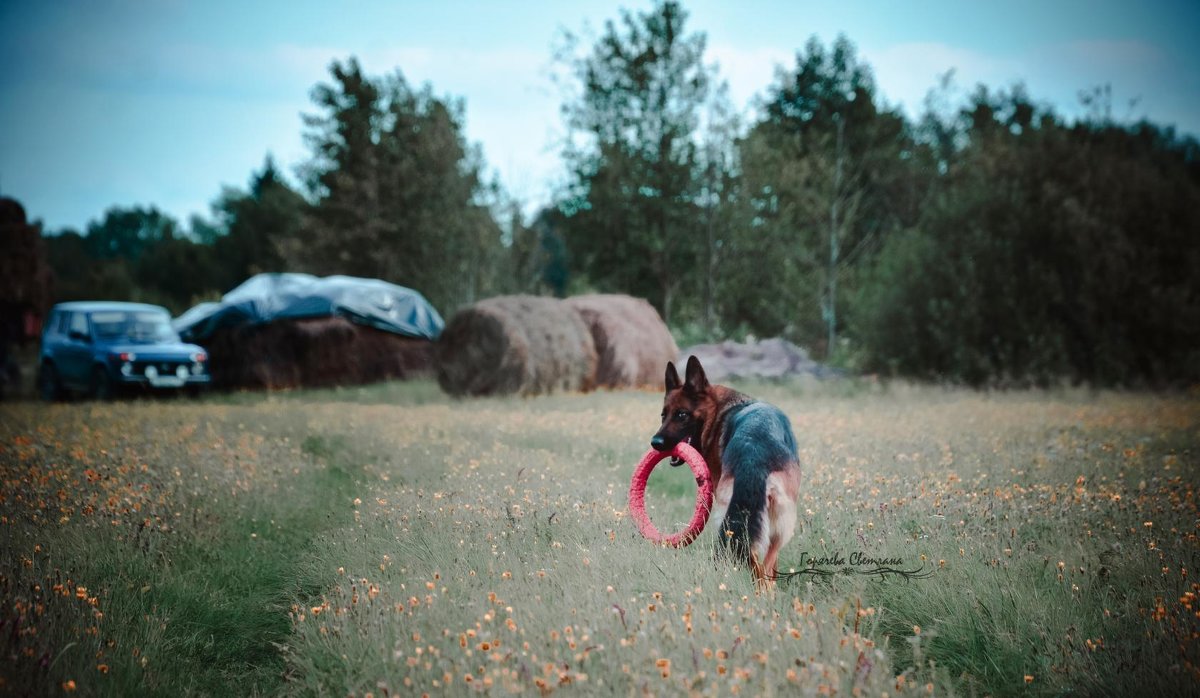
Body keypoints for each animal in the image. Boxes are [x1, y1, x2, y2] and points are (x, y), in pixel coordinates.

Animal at [652, 354, 801, 585]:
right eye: (663, 415)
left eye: (682, 415)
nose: (655, 443)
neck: (716, 413)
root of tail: (752, 454)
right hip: (773, 530)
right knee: (764, 567)